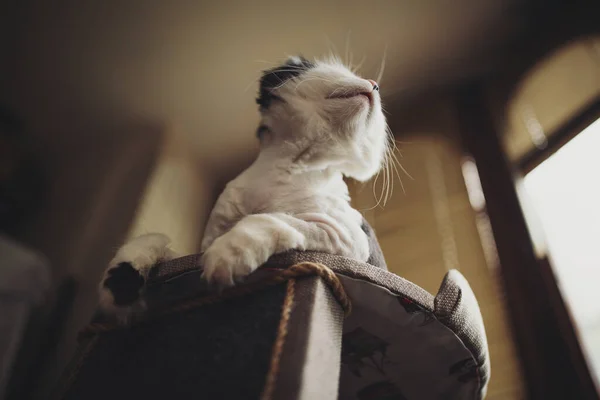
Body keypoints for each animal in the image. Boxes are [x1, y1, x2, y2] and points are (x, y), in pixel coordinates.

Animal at [99, 54, 394, 320]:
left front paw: (230, 251)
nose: (375, 83)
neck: (286, 167)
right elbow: (155, 238)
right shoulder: (194, 252)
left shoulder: (346, 235)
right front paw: (119, 285)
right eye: (340, 68)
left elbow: (274, 219)